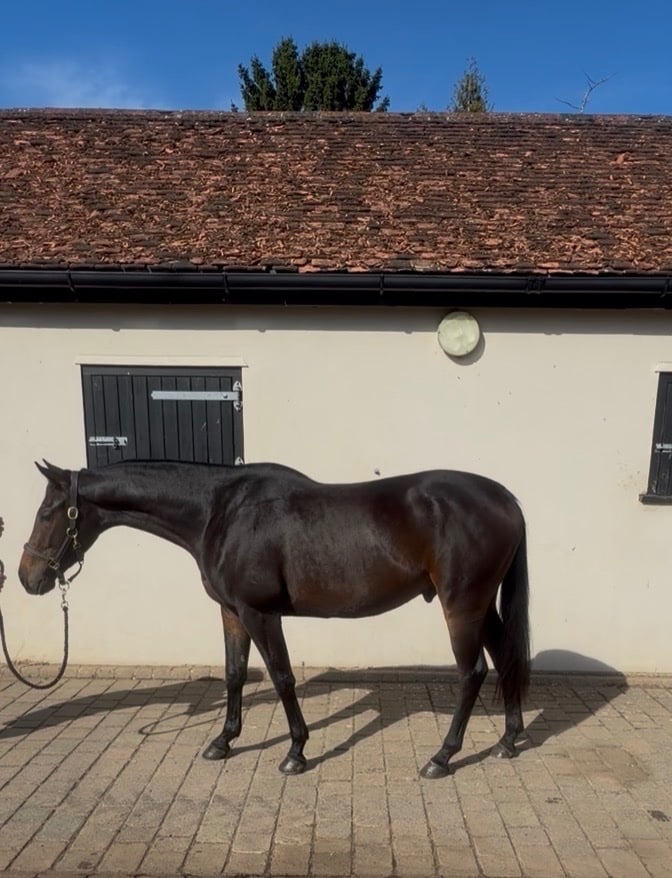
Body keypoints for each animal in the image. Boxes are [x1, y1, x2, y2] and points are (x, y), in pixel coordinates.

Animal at [18, 460, 530, 778]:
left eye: (47, 511)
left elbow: (282, 677)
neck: (218, 512)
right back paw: (509, 740)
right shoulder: (231, 612)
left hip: (461, 605)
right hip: (481, 606)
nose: (27, 577)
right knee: (505, 658)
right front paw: (223, 742)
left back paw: (442, 757)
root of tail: (505, 497)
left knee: (472, 672)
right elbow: (235, 674)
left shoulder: (260, 612)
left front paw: (296, 752)